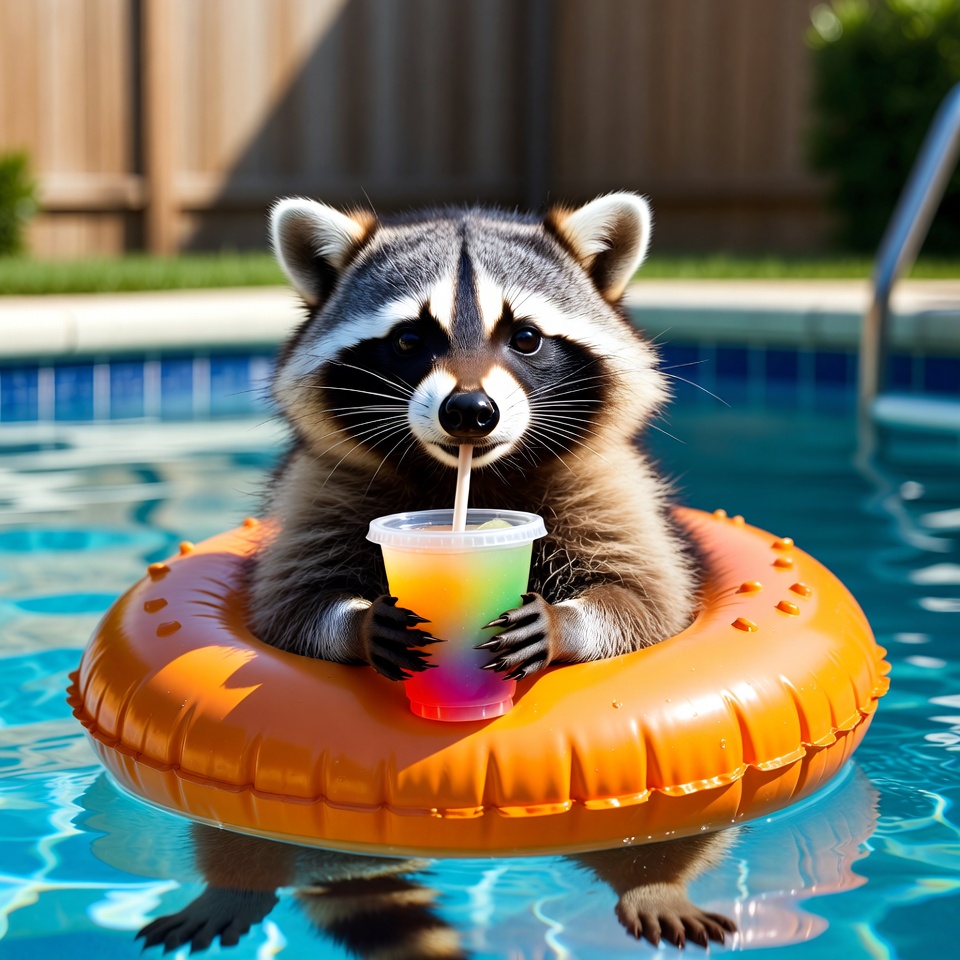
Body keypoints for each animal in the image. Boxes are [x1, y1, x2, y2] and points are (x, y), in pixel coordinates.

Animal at [248, 192, 699, 680]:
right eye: (408, 340)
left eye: (526, 337)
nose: (469, 411)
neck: (471, 476)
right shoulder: (323, 487)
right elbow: (290, 606)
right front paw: (359, 623)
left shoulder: (607, 488)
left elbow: (647, 601)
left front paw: (564, 623)